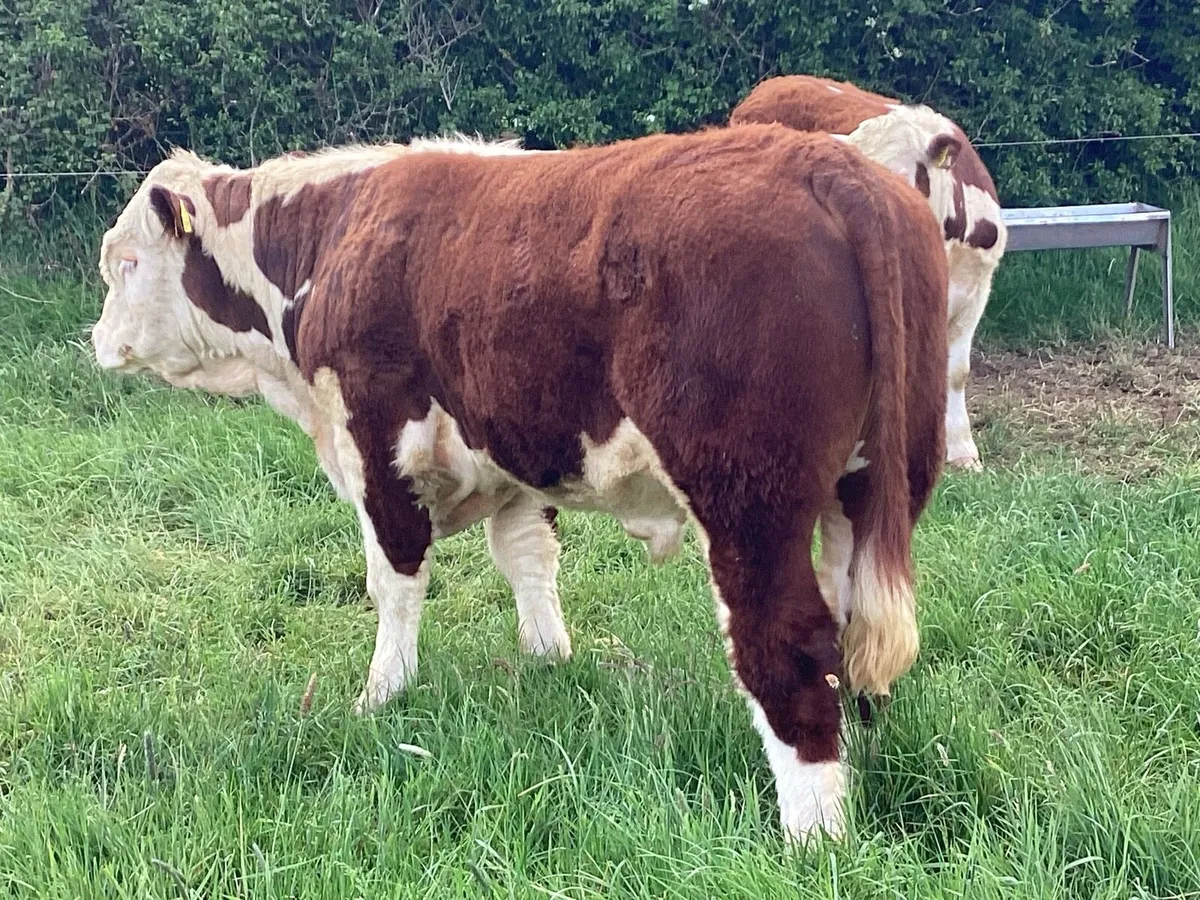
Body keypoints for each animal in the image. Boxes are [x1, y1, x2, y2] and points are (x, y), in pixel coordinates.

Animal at [90, 124, 948, 843]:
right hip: (877, 484)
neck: (331, 236)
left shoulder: (376, 441)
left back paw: (813, 837)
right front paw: (548, 662)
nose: (96, 340)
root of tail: (825, 164)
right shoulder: (514, 456)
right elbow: (528, 558)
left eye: (125, 264)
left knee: (788, 645)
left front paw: (383, 694)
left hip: (750, 504)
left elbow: (394, 577)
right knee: (855, 632)